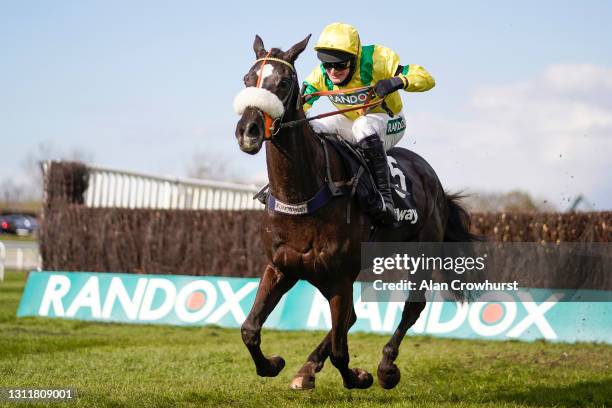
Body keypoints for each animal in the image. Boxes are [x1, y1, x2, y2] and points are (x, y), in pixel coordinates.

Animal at [232, 36, 476, 390]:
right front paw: (274, 363)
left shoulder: (339, 277)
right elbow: (249, 330)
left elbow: (340, 352)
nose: (247, 131)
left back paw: (386, 367)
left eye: (284, 82)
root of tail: (434, 180)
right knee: (351, 318)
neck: (303, 195)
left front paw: (359, 377)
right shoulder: (281, 268)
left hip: (423, 248)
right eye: (247, 80)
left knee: (413, 306)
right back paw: (307, 369)